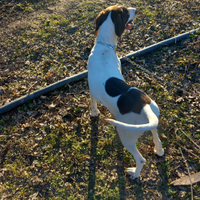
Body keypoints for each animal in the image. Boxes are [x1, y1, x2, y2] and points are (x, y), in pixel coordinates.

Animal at [87, 4, 164, 180]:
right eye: (126, 11)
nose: (136, 8)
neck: (104, 46)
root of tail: (145, 107)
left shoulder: (90, 89)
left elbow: (93, 105)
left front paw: (94, 114)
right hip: (152, 122)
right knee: (157, 140)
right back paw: (158, 151)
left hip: (126, 135)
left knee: (141, 160)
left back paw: (134, 174)